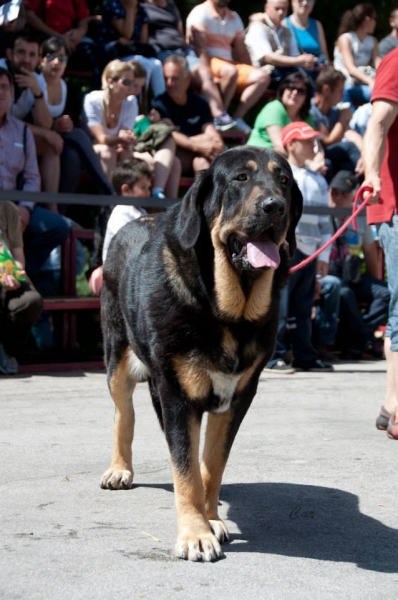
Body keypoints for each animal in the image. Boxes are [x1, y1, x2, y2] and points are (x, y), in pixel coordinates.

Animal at [99, 145, 302, 564]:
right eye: (240, 178)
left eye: (285, 182)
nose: (276, 206)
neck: (226, 311)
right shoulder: (178, 397)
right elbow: (186, 466)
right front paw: (195, 534)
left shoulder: (237, 397)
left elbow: (210, 464)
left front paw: (210, 520)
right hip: (118, 360)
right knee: (124, 415)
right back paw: (119, 469)